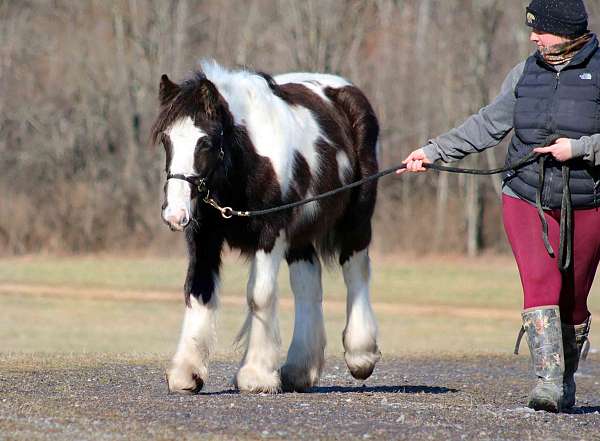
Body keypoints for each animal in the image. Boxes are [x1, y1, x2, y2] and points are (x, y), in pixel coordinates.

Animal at [152, 61, 382, 392]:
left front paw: (256, 375)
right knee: (307, 284)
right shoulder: (203, 237)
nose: (174, 213)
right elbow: (198, 291)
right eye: (166, 139)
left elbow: (259, 296)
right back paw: (300, 369)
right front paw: (187, 372)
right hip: (300, 236)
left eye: (204, 142)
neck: (249, 159)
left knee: (356, 270)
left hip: (357, 219)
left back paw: (360, 354)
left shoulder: (271, 233)